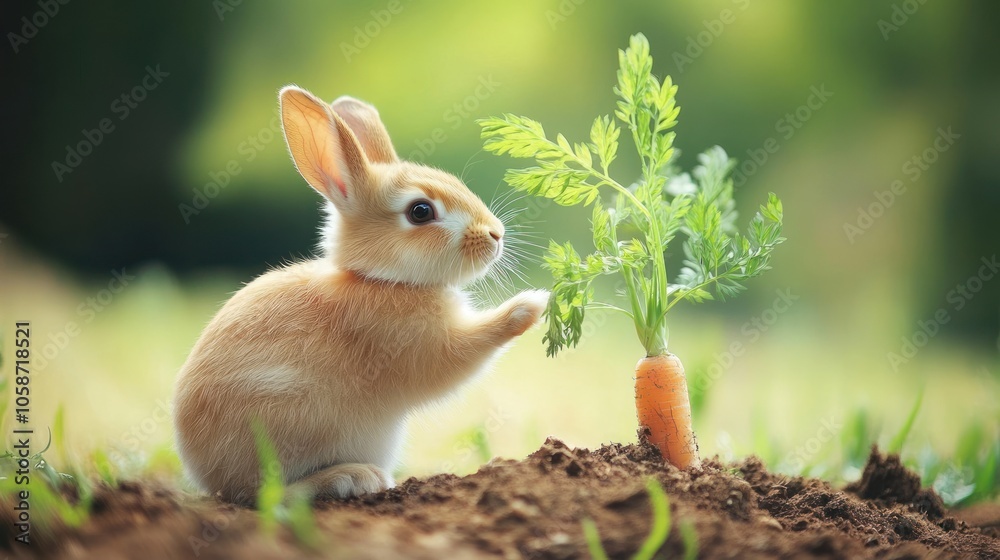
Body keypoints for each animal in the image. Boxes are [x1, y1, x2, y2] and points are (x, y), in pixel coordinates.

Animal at [173, 85, 548, 504]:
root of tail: (208, 478)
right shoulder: (414, 345)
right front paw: (532, 305)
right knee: (267, 494)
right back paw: (353, 478)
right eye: (420, 211)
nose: (496, 234)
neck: (379, 280)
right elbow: (465, 351)